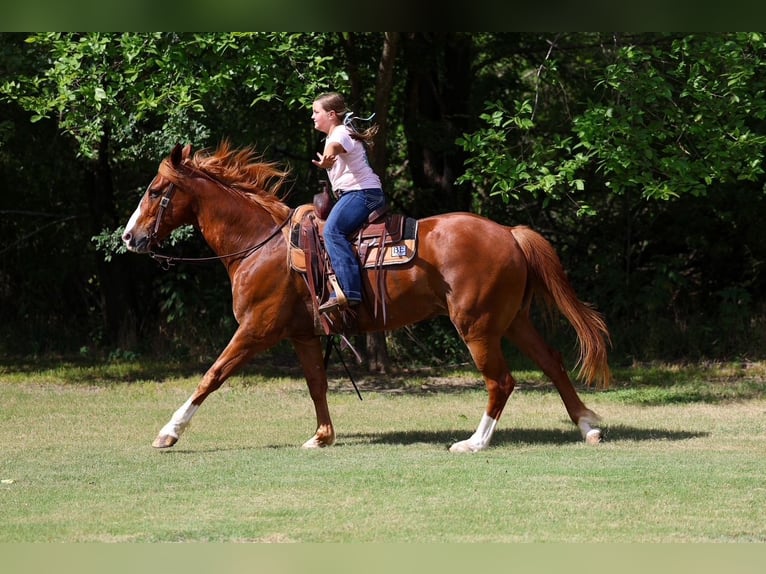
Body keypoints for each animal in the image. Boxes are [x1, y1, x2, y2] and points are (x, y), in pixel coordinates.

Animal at [122, 141, 612, 453]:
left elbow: (212, 375)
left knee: (501, 380)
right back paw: (587, 426)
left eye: (155, 191)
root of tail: (510, 233)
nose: (129, 237)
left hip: (477, 326)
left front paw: (169, 432)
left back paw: (475, 442)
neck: (260, 245)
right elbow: (316, 384)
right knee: (551, 361)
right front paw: (322, 436)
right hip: (511, 320)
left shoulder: (256, 329)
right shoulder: (302, 334)